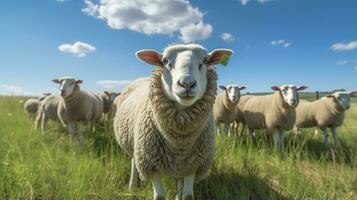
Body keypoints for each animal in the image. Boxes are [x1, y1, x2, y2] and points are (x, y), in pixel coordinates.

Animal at [112, 44, 232, 200]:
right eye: (164, 61)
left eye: (206, 60)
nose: (187, 84)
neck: (179, 141)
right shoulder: (150, 164)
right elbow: (160, 196)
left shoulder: (193, 165)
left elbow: (187, 196)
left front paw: (181, 195)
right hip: (135, 145)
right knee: (134, 161)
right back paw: (132, 185)